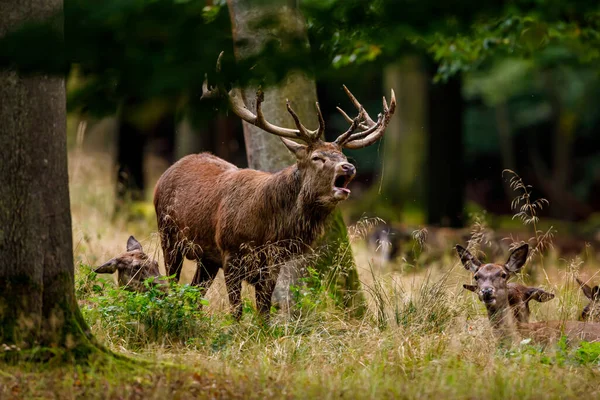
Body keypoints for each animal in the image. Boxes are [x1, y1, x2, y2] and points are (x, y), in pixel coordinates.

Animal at [154, 55, 394, 322]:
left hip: (206, 256)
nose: (348, 167)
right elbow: (236, 311)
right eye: (317, 157)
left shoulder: (272, 264)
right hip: (168, 236)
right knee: (173, 283)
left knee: (194, 294)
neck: (267, 229)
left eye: (342, 155)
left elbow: (264, 312)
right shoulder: (230, 253)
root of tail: (166, 173)